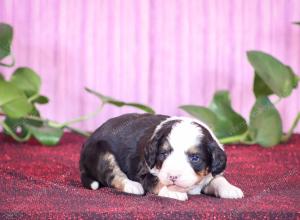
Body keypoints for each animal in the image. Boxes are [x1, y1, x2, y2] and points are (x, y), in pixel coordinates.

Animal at [79, 113, 244, 201]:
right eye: (163, 154)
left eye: (195, 158)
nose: (173, 176)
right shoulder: (143, 172)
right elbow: (157, 180)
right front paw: (173, 191)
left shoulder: (209, 175)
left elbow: (218, 179)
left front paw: (231, 189)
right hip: (102, 153)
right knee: (112, 175)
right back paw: (132, 186)